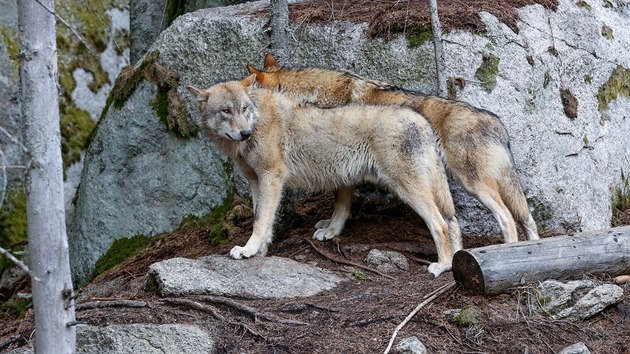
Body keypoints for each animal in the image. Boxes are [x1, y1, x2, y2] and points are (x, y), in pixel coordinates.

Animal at [188, 74, 464, 276]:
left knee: (440, 224)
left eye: (244, 108)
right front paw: (260, 250)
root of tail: (422, 120)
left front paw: (247, 250)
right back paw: (456, 261)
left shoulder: (271, 178)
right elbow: (264, 219)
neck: (257, 121)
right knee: (452, 221)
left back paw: (442, 266)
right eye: (226, 111)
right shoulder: (257, 181)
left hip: (408, 190)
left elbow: (259, 220)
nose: (245, 133)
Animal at [248, 54, 544, 243]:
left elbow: (340, 205)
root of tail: (497, 122)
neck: (309, 98)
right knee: (527, 219)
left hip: (473, 184)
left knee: (507, 218)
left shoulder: (341, 164)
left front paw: (331, 231)